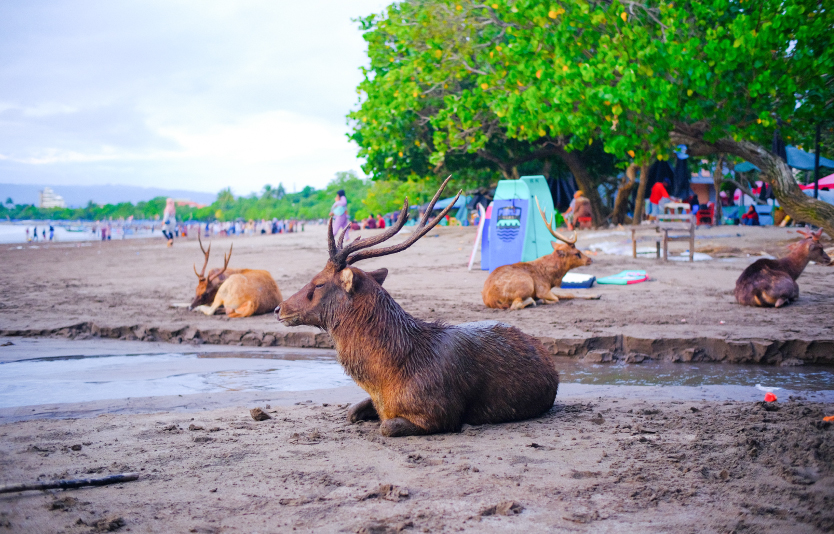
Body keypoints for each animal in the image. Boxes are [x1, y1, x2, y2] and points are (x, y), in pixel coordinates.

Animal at [276, 177, 560, 437]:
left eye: (319, 283)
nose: (279, 308)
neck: (386, 379)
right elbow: (351, 412)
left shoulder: (441, 412)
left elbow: (386, 427)